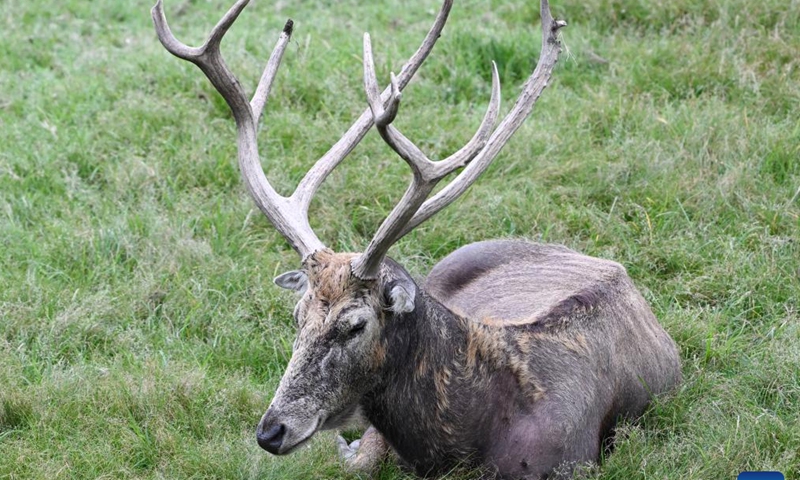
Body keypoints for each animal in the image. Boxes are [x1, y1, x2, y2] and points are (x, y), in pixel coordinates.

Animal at [151, 0, 682, 478]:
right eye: (297, 315)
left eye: (354, 325)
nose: (271, 431)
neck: (464, 438)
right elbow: (360, 462)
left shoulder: (569, 462)